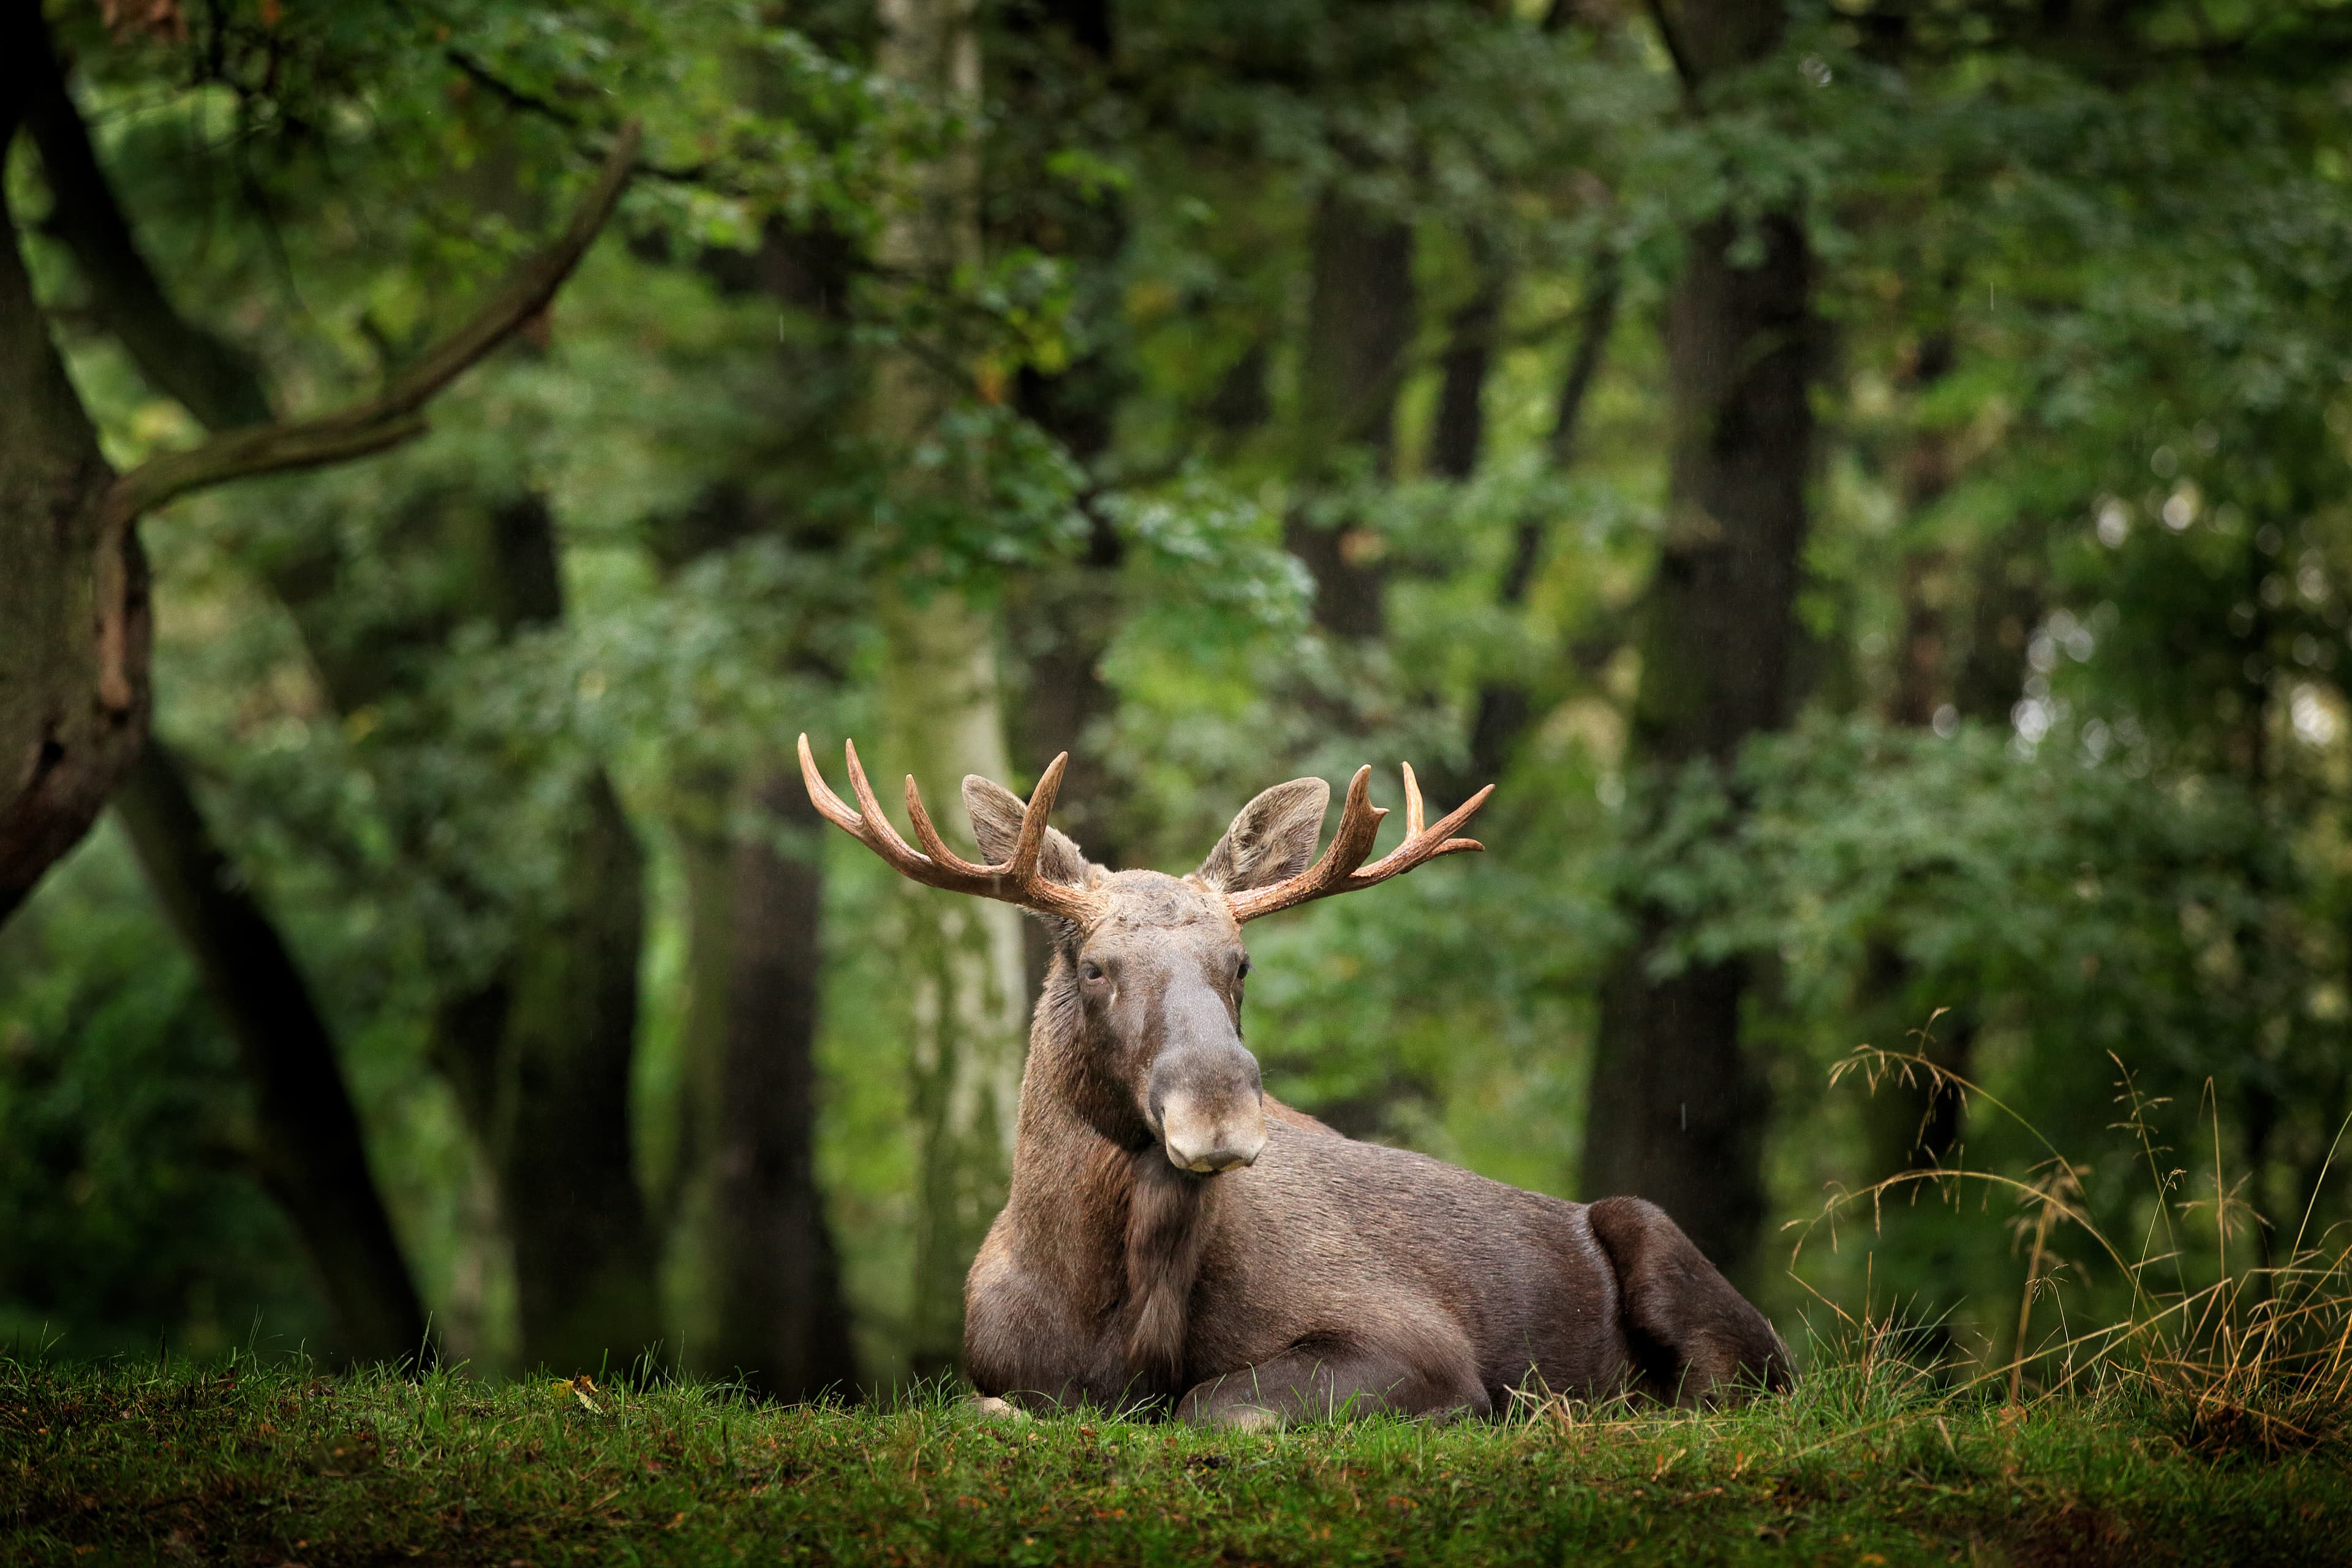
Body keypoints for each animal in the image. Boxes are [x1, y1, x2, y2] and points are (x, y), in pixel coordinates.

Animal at [799, 735, 1790, 1426]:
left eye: (1240, 962)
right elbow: (995, 1406)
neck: (1119, 1321)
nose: (1218, 1111)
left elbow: (1220, 1408)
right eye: (1095, 966)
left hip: (1677, 1261)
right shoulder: (994, 1369)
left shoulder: (1418, 1339)